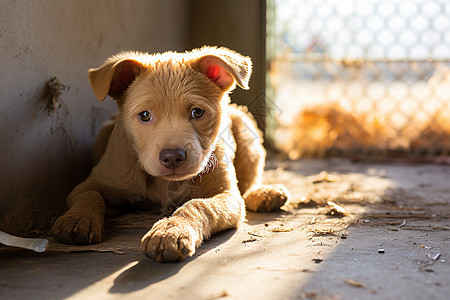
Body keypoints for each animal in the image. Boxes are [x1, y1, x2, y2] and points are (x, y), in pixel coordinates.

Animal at [51, 45, 290, 262]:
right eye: (144, 115)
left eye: (197, 112)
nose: (172, 157)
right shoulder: (92, 182)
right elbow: (90, 195)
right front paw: (77, 219)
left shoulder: (227, 196)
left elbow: (198, 204)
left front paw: (170, 231)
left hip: (246, 129)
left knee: (249, 180)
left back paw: (263, 193)